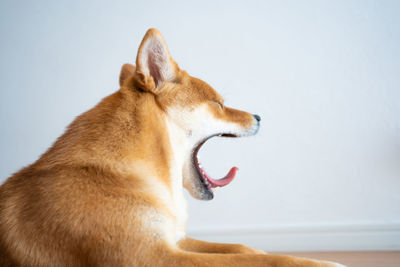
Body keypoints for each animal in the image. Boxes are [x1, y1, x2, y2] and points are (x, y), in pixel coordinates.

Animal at [0, 29, 344, 267]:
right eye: (219, 103)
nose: (259, 117)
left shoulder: (171, 239)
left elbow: (243, 249)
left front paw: (258, 248)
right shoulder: (152, 256)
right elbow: (262, 260)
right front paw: (322, 263)